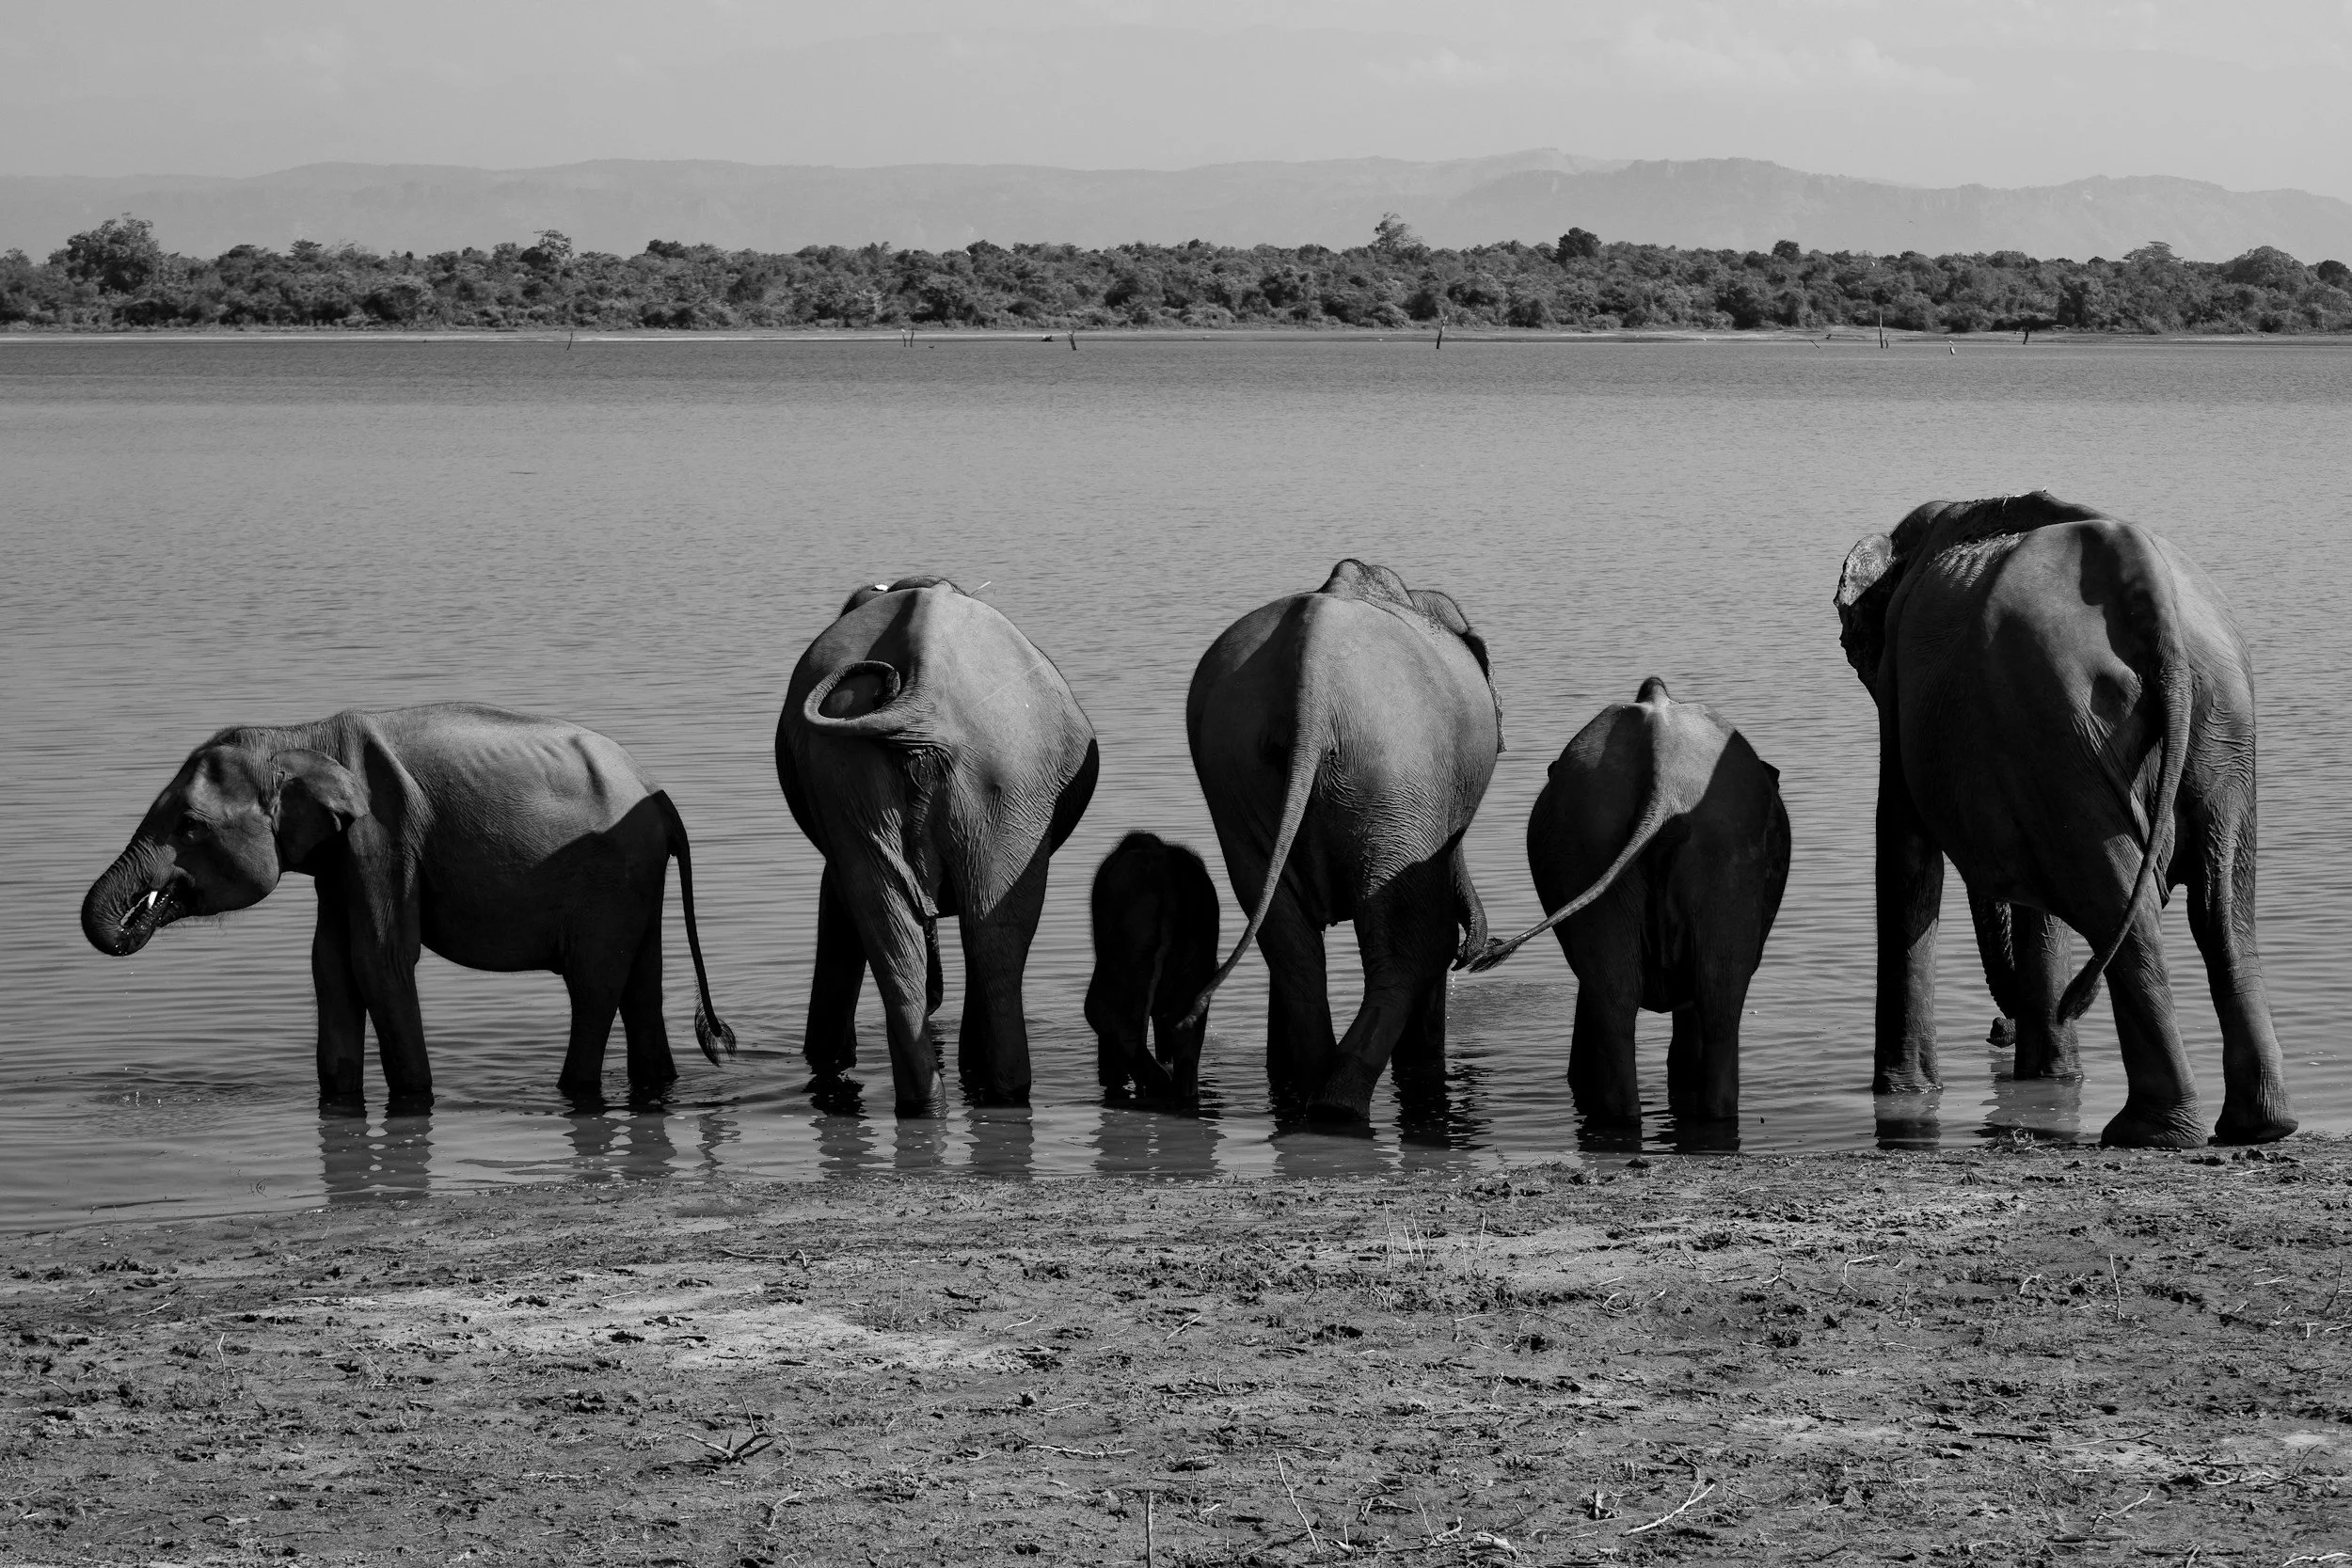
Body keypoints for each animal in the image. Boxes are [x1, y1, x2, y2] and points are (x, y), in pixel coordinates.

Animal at [79, 703, 734, 1106]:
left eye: (189, 825)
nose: (132, 922)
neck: (298, 738)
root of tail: (660, 795)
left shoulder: (382, 837)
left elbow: (379, 961)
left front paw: (414, 1102)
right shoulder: (342, 859)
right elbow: (330, 967)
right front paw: (340, 1101)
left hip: (612, 876)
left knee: (594, 984)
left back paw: (575, 1093)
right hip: (636, 879)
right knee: (640, 983)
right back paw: (655, 1089)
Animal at [777, 576, 1098, 1116]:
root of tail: (919, 696)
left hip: (877, 776)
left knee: (929, 940)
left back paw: (942, 1107)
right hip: (1004, 777)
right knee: (991, 946)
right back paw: (993, 1095)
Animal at [1181, 559, 1501, 1121]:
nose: (1477, 953)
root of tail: (1312, 678)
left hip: (1237, 782)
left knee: (1288, 941)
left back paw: (1311, 1096)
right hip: (1395, 773)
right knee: (1413, 945)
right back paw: (1339, 1105)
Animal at [1834, 490, 2295, 1147]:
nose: (1998, 1027)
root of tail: (2149, 591)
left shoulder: (1903, 694)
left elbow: (1903, 851)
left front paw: (1905, 1096)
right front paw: (2048, 1079)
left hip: (2073, 719)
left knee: (2122, 903)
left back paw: (2146, 1132)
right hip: (2209, 719)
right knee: (2220, 906)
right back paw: (2254, 1128)